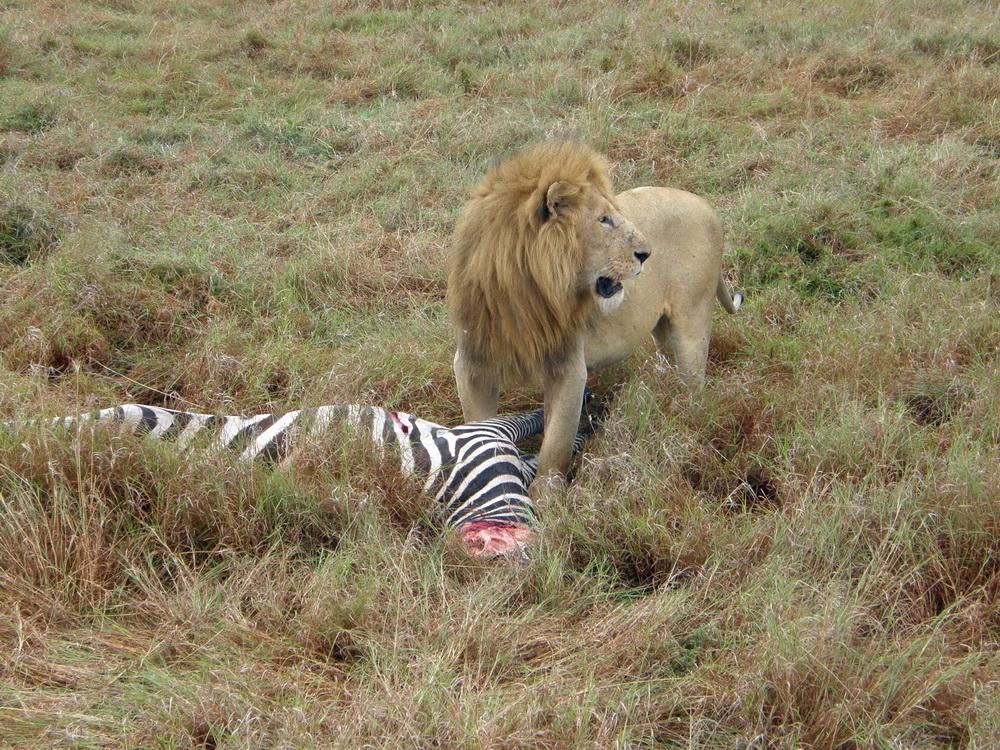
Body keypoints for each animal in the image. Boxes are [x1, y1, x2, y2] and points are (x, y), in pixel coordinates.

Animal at [446, 142, 744, 488]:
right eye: (604, 220)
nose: (647, 253)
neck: (523, 292)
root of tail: (705, 204)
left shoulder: (568, 366)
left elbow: (556, 444)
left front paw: (546, 496)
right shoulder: (473, 362)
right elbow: (480, 426)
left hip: (692, 321)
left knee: (696, 384)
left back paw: (685, 423)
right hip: (664, 329)